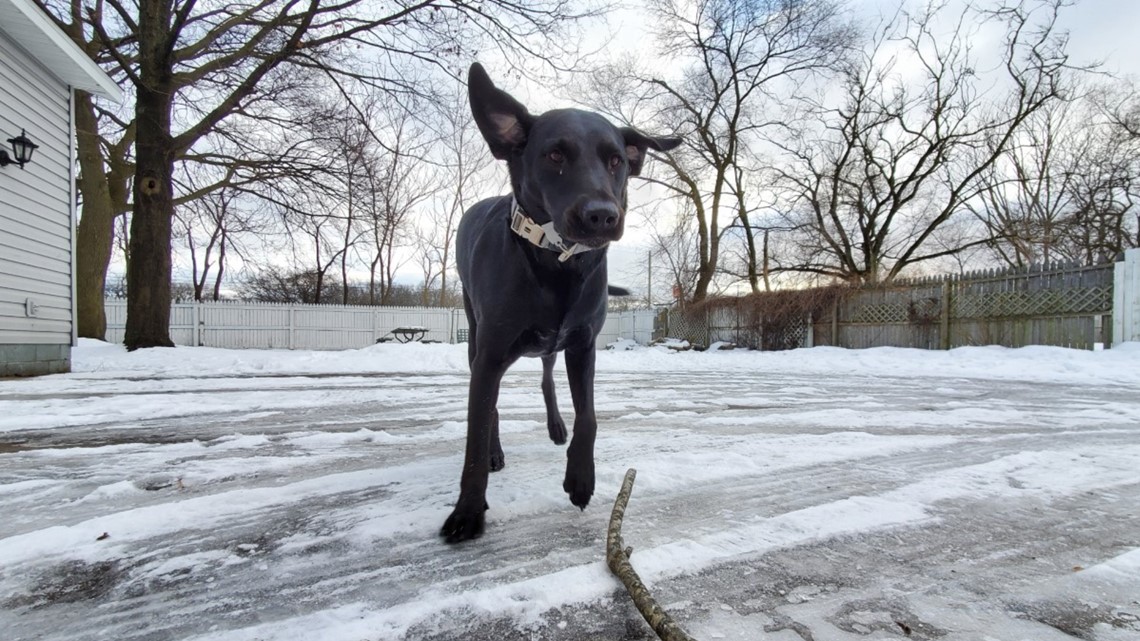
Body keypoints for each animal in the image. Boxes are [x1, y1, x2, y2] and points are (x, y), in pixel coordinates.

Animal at [440, 63, 674, 538]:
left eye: (617, 160)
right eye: (554, 156)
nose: (602, 215)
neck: (558, 261)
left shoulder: (583, 344)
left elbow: (590, 416)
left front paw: (581, 478)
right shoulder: (490, 354)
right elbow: (477, 426)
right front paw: (468, 511)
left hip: (552, 344)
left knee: (548, 378)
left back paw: (555, 425)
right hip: (476, 332)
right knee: (490, 405)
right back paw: (496, 453)